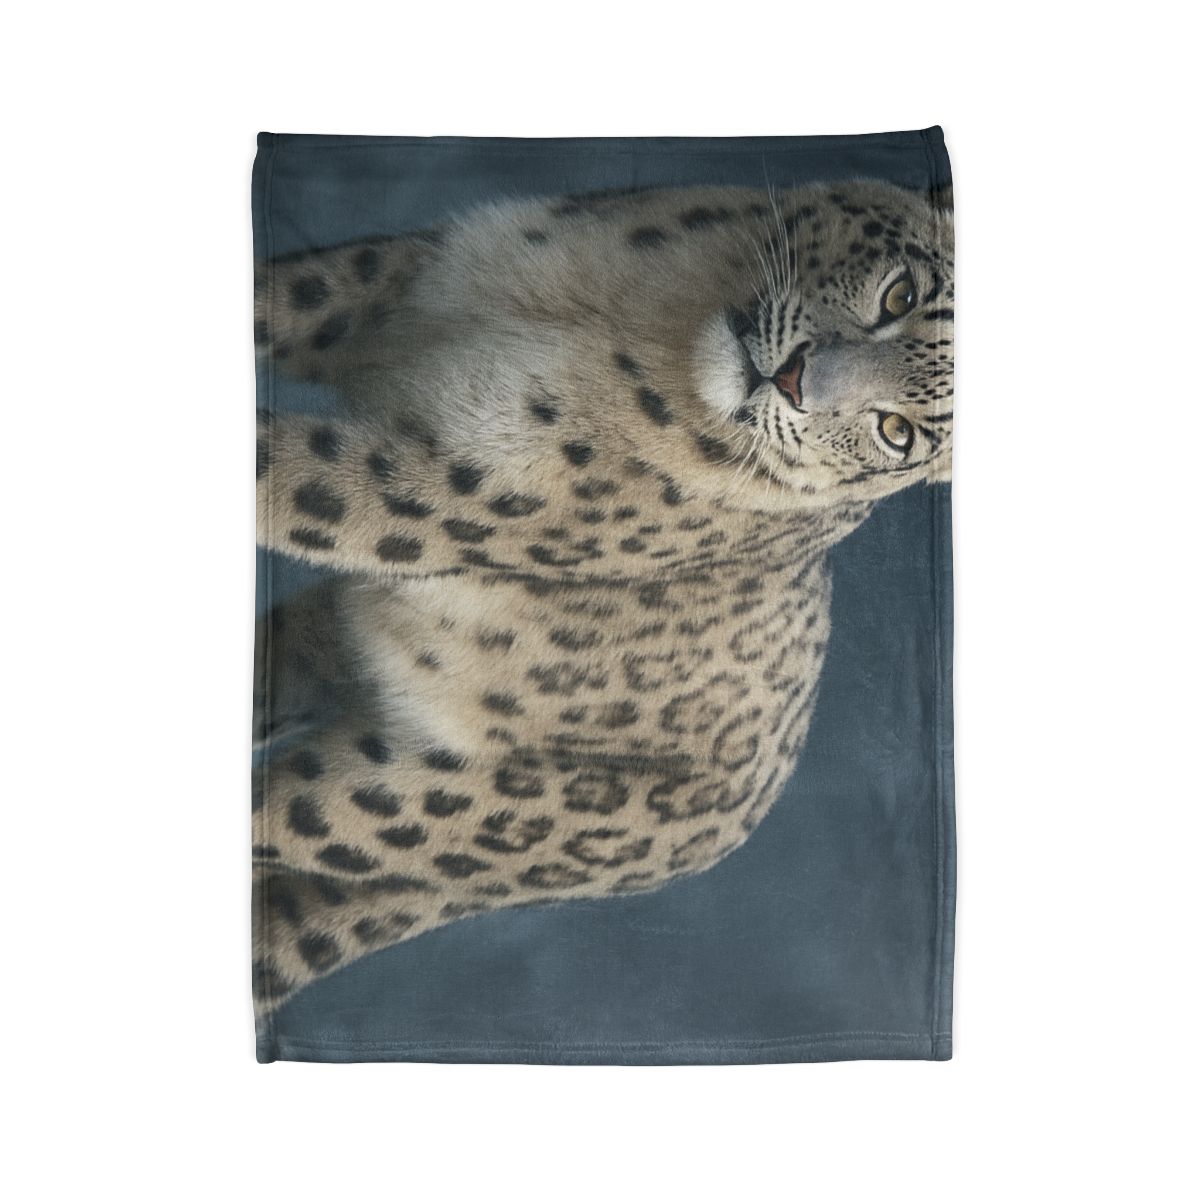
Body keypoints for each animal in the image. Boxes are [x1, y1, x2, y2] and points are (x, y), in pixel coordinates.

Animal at [252, 179, 954, 1016]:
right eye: (901, 293)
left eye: (897, 432)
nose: (791, 378)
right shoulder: (394, 276)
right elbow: (283, 295)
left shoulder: (443, 493)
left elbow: (285, 475)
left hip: (412, 800)